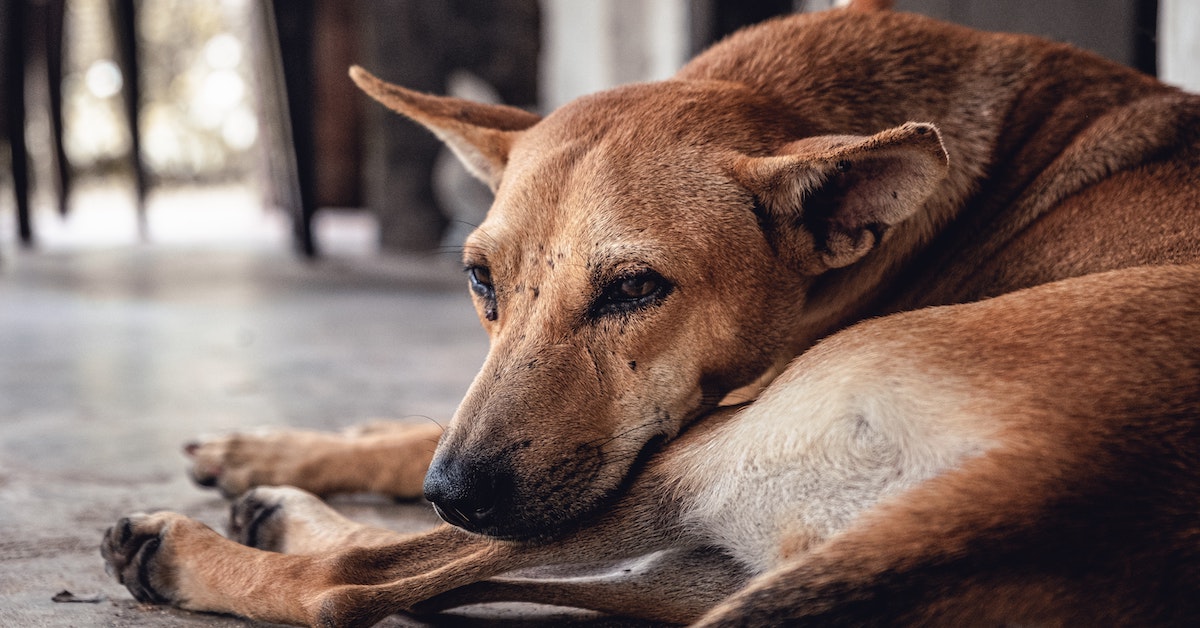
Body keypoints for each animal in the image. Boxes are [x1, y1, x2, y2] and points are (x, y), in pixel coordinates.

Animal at [103, 2, 1200, 624]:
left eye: (635, 289)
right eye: (480, 280)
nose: (452, 491)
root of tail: (1046, 491)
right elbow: (412, 429)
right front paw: (282, 445)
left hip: (688, 459)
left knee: (358, 585)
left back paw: (193, 550)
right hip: (706, 557)